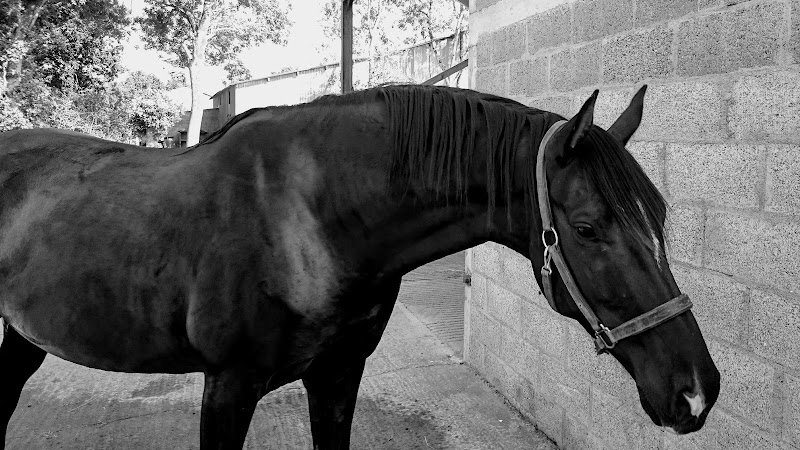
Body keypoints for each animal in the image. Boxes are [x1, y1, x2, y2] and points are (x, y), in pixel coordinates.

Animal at [0, 84, 720, 449]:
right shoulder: (228, 387)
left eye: (661, 216)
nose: (697, 390)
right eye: (588, 228)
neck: (310, 219)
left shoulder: (338, 377)